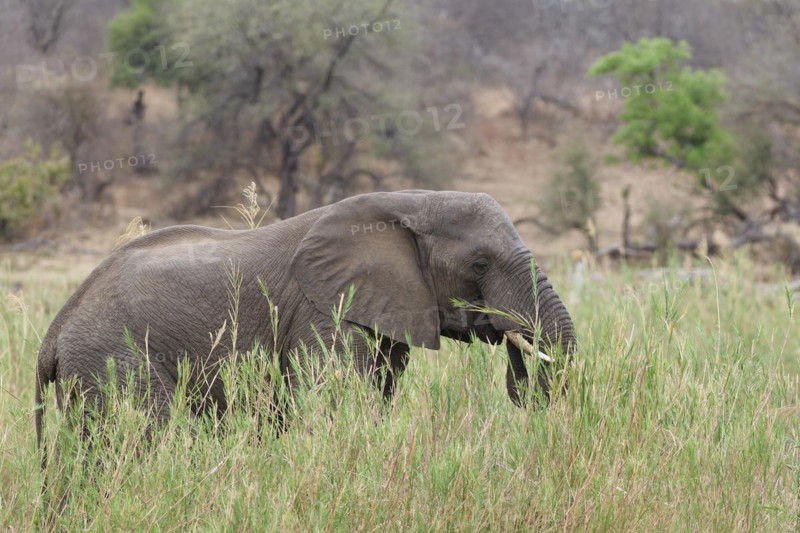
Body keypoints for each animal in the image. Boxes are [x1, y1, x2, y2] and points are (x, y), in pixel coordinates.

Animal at [35, 190, 576, 445]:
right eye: (480, 265)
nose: (511, 336)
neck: (408, 202)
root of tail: (54, 333)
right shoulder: (322, 313)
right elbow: (331, 402)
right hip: (116, 360)